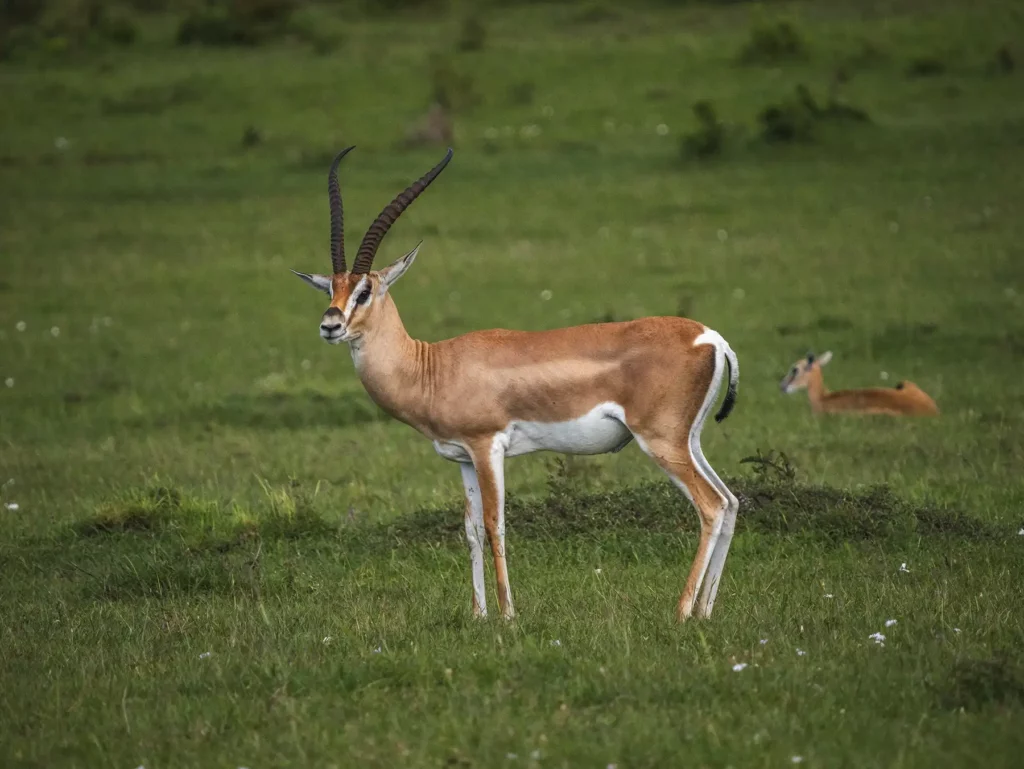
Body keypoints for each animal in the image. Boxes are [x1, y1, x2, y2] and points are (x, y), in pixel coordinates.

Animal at [290, 147, 740, 622]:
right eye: (331, 290)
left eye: (365, 290)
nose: (330, 325)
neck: (432, 368)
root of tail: (709, 337)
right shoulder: (463, 458)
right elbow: (470, 529)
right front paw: (478, 615)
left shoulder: (488, 447)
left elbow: (495, 524)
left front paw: (507, 615)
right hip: (688, 440)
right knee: (730, 502)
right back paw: (706, 610)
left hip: (660, 441)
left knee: (711, 505)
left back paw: (683, 611)